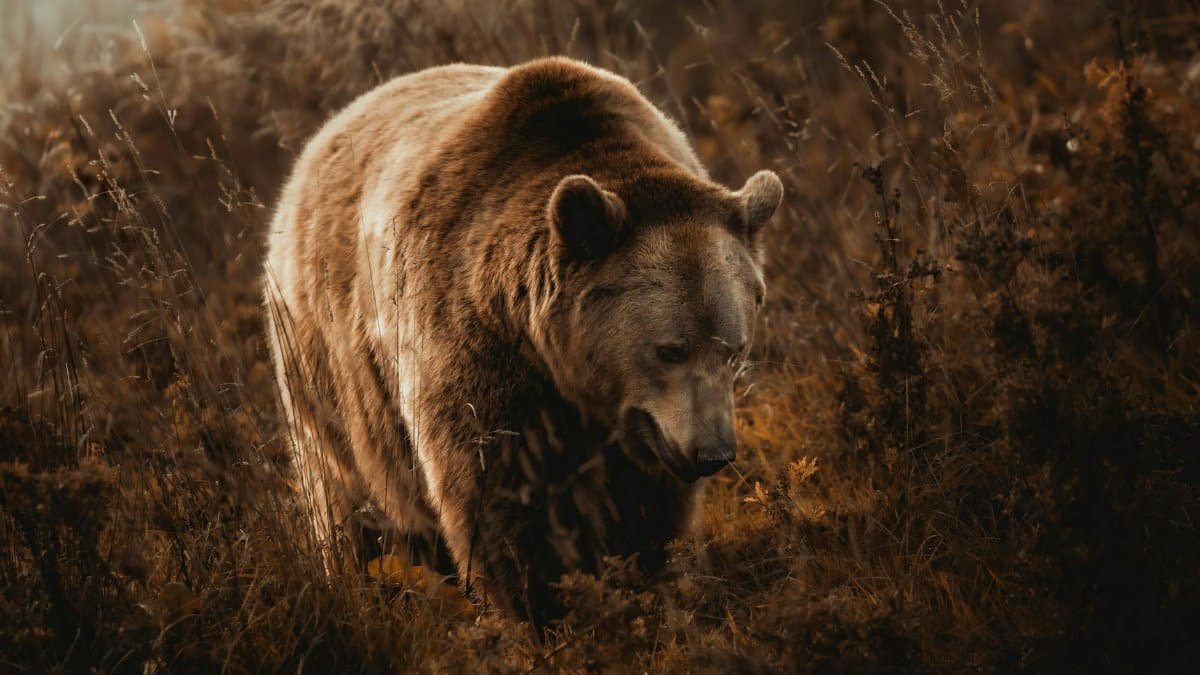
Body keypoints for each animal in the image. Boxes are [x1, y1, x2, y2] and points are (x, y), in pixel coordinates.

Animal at [262, 56, 783, 624]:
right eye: (670, 349)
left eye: (734, 350)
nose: (713, 453)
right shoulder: (478, 351)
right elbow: (495, 497)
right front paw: (539, 607)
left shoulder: (643, 431)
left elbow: (648, 505)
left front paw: (647, 582)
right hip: (325, 366)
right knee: (348, 498)